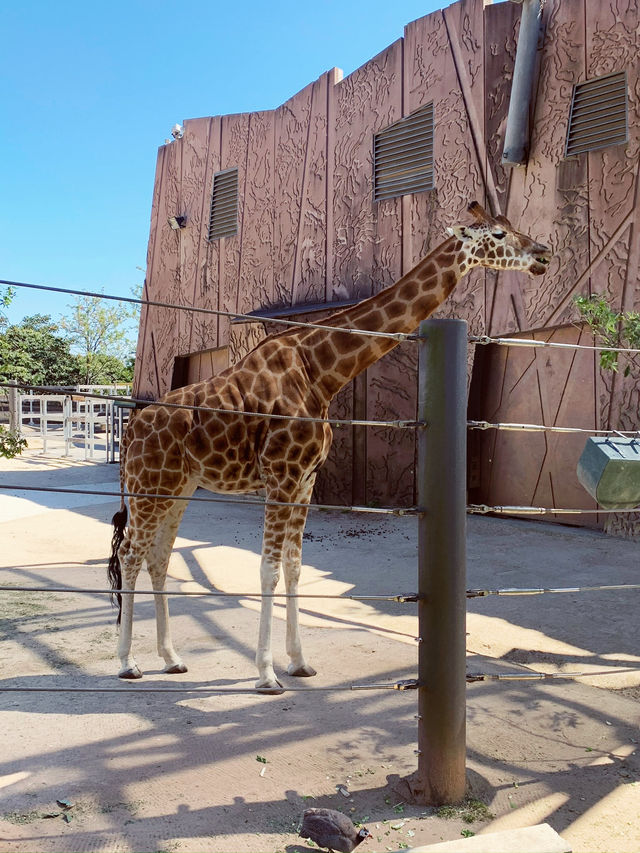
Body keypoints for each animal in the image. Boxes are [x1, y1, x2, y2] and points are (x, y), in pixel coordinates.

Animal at [106, 201, 552, 692]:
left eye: (513, 226)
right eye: (498, 233)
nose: (544, 254)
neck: (320, 372)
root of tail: (131, 426)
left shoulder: (305, 481)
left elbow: (294, 567)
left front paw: (299, 662)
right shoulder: (281, 476)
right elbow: (267, 569)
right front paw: (266, 674)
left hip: (178, 487)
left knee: (159, 556)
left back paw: (171, 658)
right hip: (150, 485)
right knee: (130, 553)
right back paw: (127, 663)